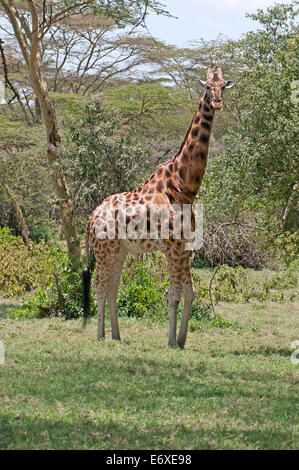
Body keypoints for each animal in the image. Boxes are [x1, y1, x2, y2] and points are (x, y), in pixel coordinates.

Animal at [83, 66, 236, 346]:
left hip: (119, 250)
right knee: (99, 285)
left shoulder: (184, 246)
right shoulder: (172, 246)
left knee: (112, 287)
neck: (183, 186)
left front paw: (182, 339)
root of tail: (90, 219)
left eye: (223, 86)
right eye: (207, 86)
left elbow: (189, 291)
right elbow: (174, 294)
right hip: (104, 249)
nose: (218, 102)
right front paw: (172, 341)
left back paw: (116, 335)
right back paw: (100, 335)